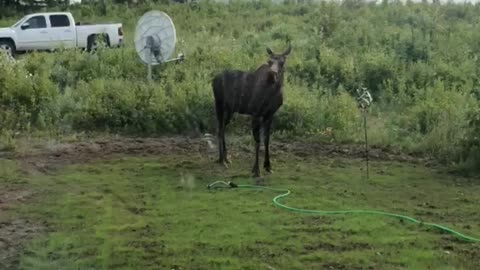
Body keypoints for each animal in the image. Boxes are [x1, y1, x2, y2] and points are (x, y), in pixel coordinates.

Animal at [213, 44, 292, 177]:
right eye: (269, 61)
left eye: (282, 62)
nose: (272, 74)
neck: (273, 93)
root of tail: (213, 79)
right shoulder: (255, 113)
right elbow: (257, 140)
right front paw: (256, 170)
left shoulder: (270, 114)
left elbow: (266, 139)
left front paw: (268, 166)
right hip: (218, 103)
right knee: (219, 129)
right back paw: (222, 160)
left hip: (230, 110)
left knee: (222, 127)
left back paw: (226, 158)